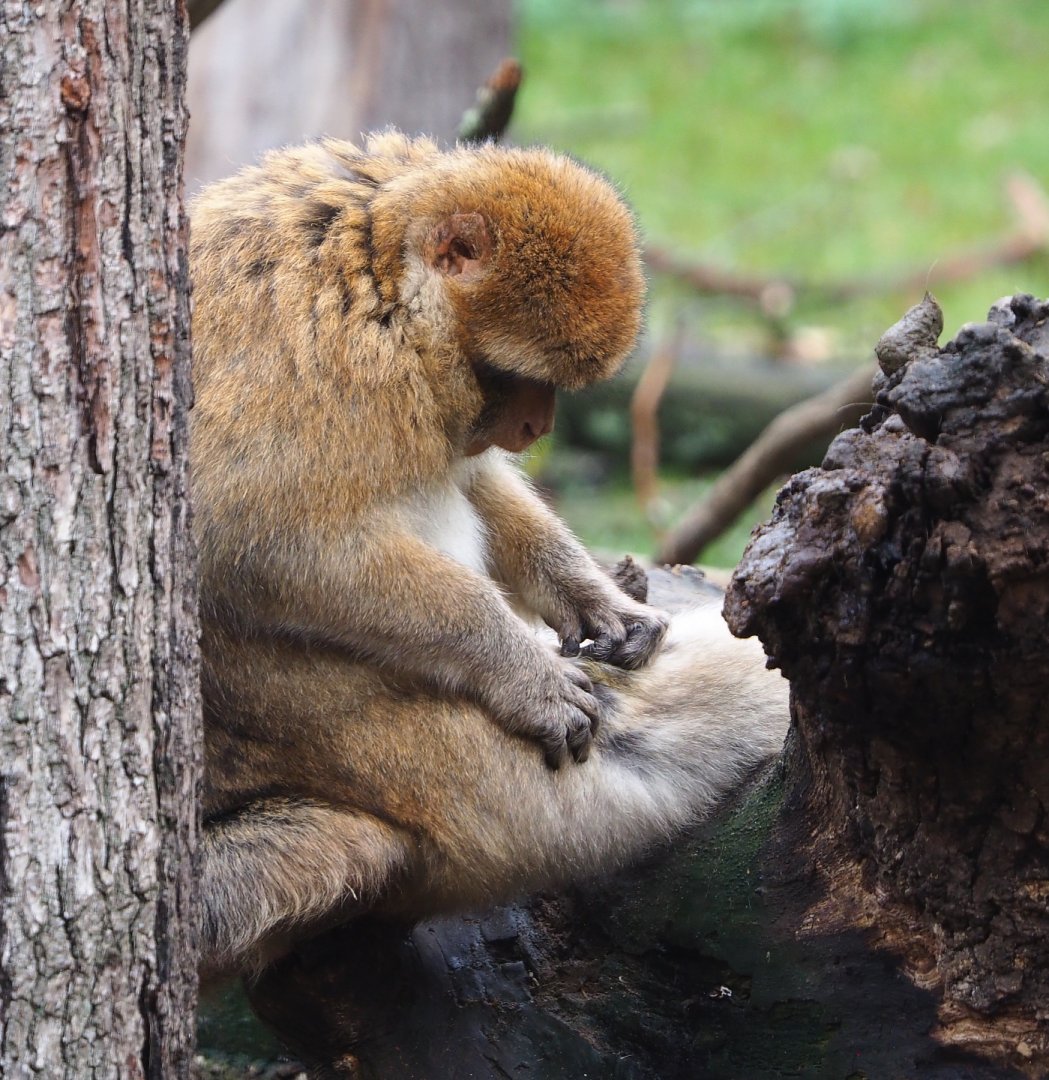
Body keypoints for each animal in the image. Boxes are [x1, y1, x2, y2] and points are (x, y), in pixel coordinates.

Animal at [190, 132, 789, 978]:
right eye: (512, 376)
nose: (536, 428)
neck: (378, 261)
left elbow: (473, 479)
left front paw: (598, 599)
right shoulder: (325, 361)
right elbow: (259, 543)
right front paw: (521, 671)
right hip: (441, 775)